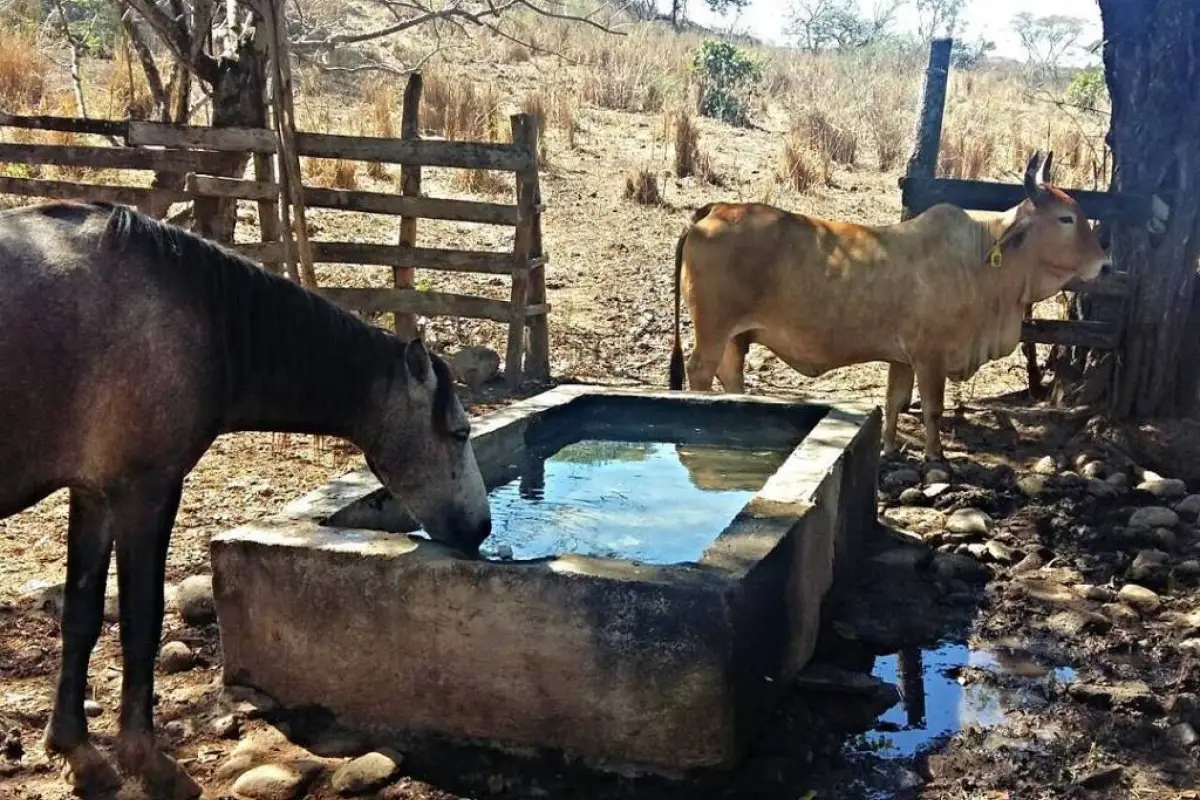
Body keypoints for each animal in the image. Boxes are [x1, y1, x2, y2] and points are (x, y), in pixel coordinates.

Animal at [0, 199, 492, 796]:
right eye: (460, 433)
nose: (482, 528)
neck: (194, 311)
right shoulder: (146, 491)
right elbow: (142, 617)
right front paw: (147, 759)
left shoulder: (93, 493)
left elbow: (82, 616)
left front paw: (78, 750)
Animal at [672, 152, 1108, 460]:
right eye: (1066, 218)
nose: (1104, 265)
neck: (980, 259)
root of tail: (716, 209)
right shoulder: (930, 356)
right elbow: (932, 408)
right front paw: (936, 457)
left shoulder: (903, 358)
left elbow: (894, 401)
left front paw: (890, 448)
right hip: (713, 329)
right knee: (701, 372)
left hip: (737, 336)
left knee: (730, 374)